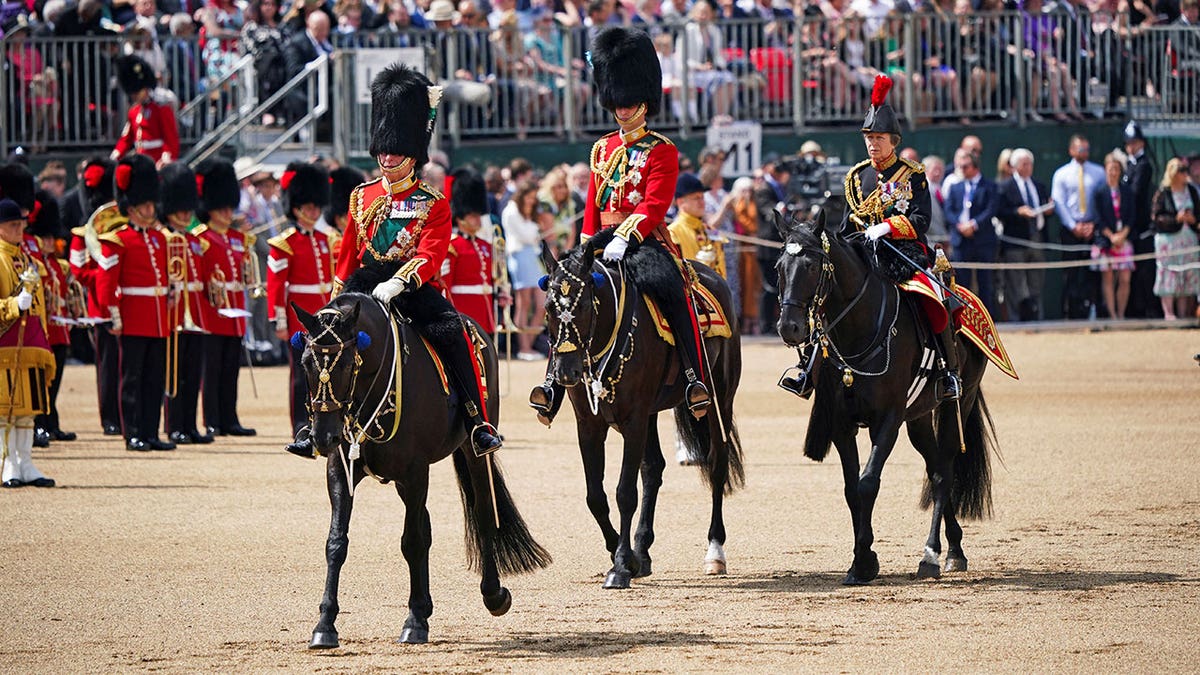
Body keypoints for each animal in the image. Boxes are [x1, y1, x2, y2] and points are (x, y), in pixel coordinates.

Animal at [292, 281, 549, 643]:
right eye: (305, 363)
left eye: (346, 364)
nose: (323, 437)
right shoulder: (341, 470)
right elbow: (336, 542)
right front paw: (325, 624)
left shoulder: (414, 471)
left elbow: (412, 541)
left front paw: (413, 621)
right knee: (427, 525)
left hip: (471, 450)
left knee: (483, 511)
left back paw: (492, 593)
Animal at [542, 228, 739, 586]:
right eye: (549, 306)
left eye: (583, 305)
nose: (565, 373)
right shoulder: (589, 424)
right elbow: (596, 496)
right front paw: (626, 557)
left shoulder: (633, 420)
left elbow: (624, 492)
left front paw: (621, 565)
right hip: (650, 414)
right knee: (653, 469)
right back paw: (643, 550)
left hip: (720, 400)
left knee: (716, 463)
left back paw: (715, 551)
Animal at [772, 210, 998, 583]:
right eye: (779, 267)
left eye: (812, 265)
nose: (789, 327)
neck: (858, 332)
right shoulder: (841, 425)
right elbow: (851, 490)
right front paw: (860, 561)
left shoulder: (887, 421)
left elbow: (867, 484)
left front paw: (865, 560)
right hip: (918, 417)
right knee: (936, 469)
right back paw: (953, 548)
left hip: (958, 405)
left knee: (944, 471)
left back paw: (932, 555)